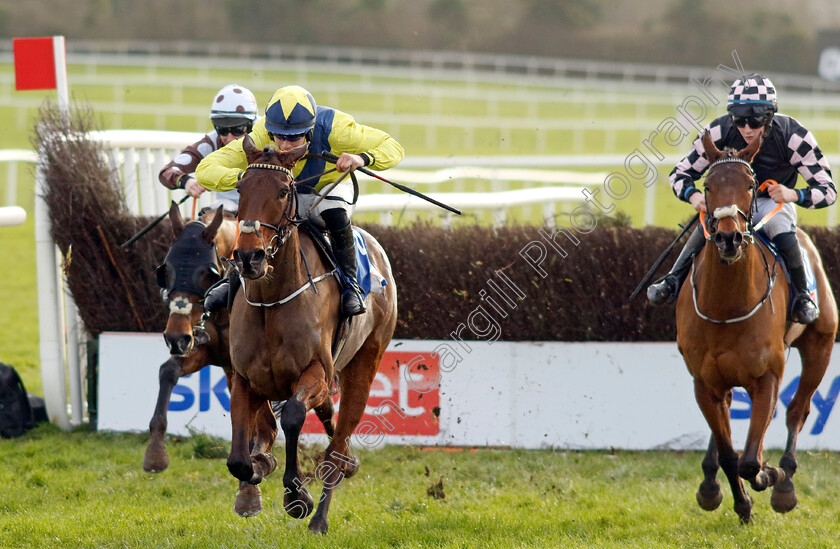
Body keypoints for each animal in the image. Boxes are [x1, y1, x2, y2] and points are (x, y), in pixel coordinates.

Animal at [225, 135, 398, 532]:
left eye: (283, 190)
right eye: (240, 188)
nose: (249, 258)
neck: (271, 301)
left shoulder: (316, 372)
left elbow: (292, 415)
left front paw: (297, 495)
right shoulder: (244, 377)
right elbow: (239, 458)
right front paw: (257, 472)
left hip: (365, 362)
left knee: (338, 443)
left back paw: (320, 514)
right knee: (328, 423)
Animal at [680, 128, 836, 524]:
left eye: (751, 184)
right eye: (707, 185)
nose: (728, 237)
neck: (726, 308)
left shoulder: (768, 376)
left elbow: (751, 461)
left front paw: (770, 475)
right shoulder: (703, 382)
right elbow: (730, 454)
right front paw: (740, 503)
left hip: (820, 346)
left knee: (798, 410)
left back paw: (785, 484)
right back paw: (710, 482)